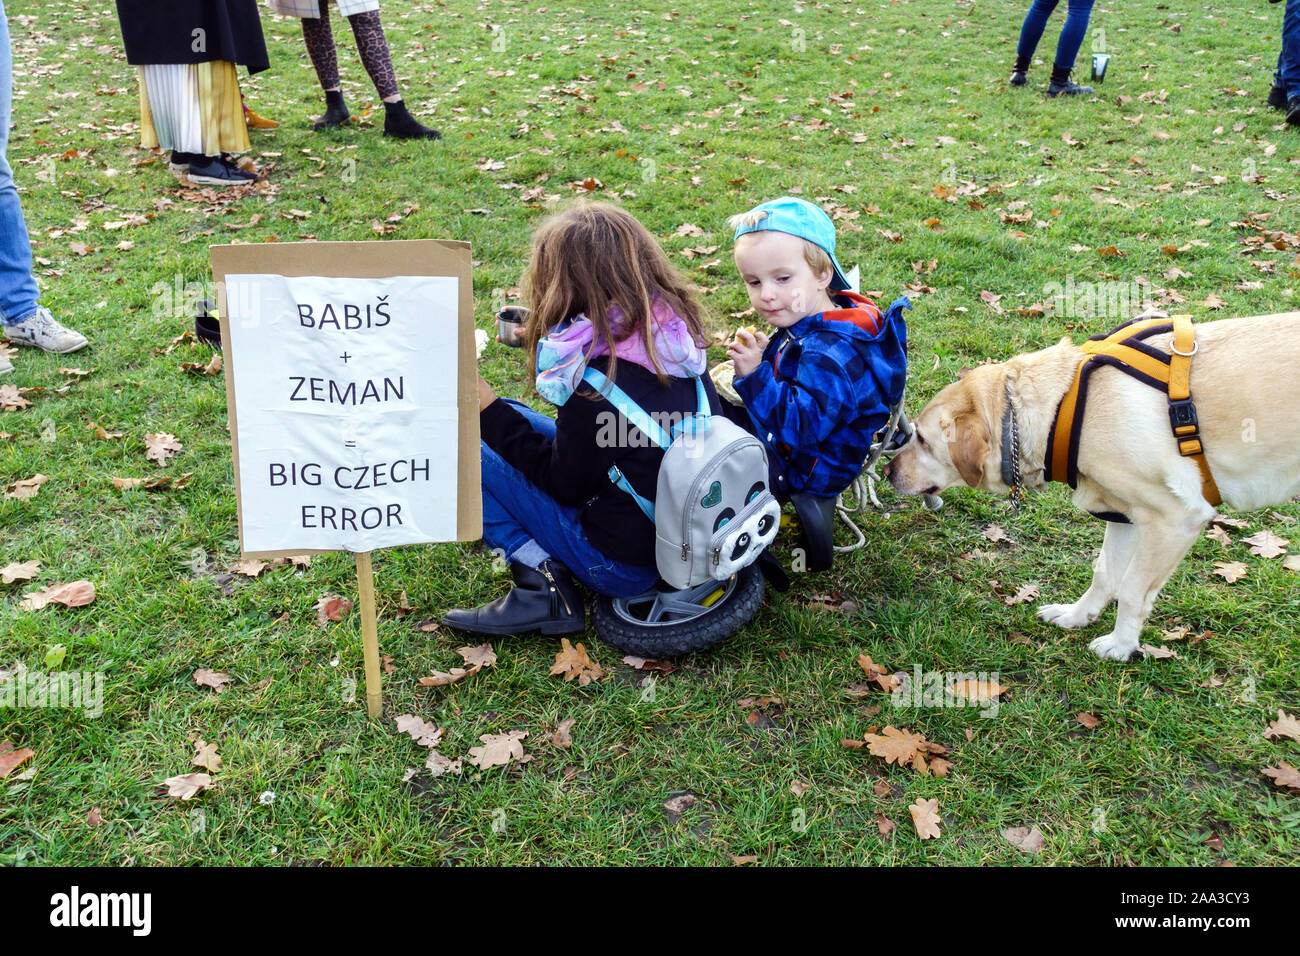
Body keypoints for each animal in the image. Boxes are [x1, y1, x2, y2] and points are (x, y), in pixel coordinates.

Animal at [883, 310, 1300, 660]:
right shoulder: (1124, 517)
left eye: (922, 440)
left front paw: (1120, 646)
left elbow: (1131, 591)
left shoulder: (1174, 520)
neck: (1062, 408)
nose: (886, 471)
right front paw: (1077, 616)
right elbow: (1104, 573)